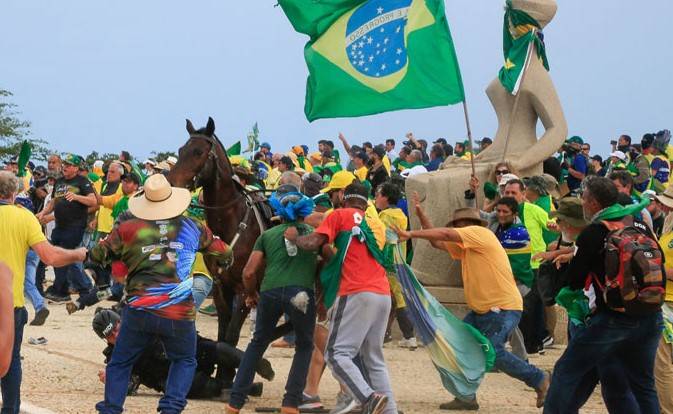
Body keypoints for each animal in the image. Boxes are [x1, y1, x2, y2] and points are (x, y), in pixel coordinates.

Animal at [167, 117, 262, 352]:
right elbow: (222, 335)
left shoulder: (244, 292)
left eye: (198, 152)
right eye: (181, 150)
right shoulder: (221, 288)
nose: (171, 185)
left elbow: (231, 337)